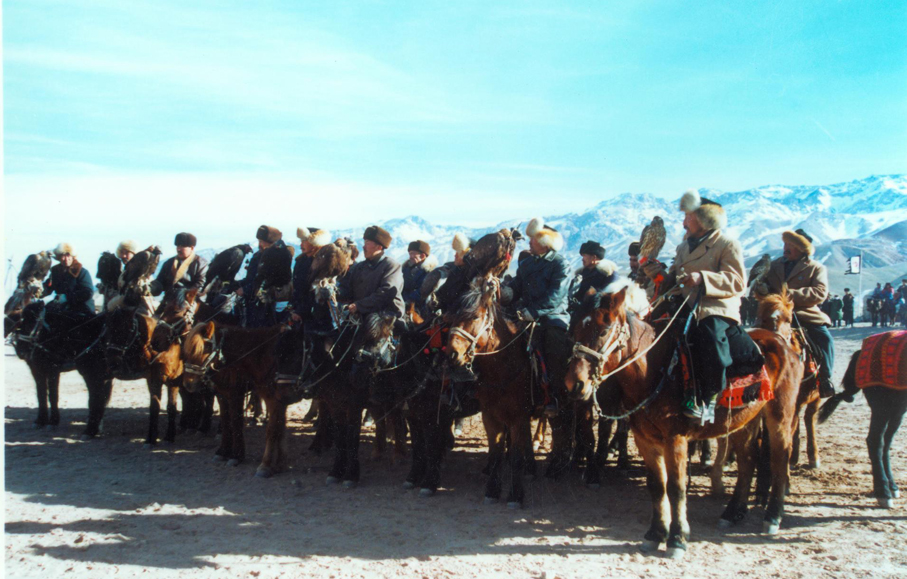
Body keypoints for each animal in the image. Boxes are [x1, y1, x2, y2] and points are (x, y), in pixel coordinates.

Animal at [8, 302, 112, 438]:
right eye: (21, 322)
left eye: (31, 323)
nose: (21, 351)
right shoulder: (36, 369)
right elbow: (41, 394)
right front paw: (40, 420)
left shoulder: (53, 370)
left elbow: (53, 395)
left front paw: (53, 422)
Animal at [564, 283, 802, 558]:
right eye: (574, 329)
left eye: (603, 330)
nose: (574, 384)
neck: (655, 370)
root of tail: (783, 343)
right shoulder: (645, 439)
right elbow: (657, 486)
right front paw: (655, 534)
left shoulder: (675, 439)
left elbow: (676, 488)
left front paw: (677, 539)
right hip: (744, 420)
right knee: (747, 459)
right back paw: (732, 512)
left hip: (780, 413)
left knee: (780, 457)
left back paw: (773, 516)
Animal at [819, 330, 907, 508]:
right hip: (881, 406)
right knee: (875, 441)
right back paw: (883, 492)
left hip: (898, 408)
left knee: (886, 442)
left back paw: (891, 486)